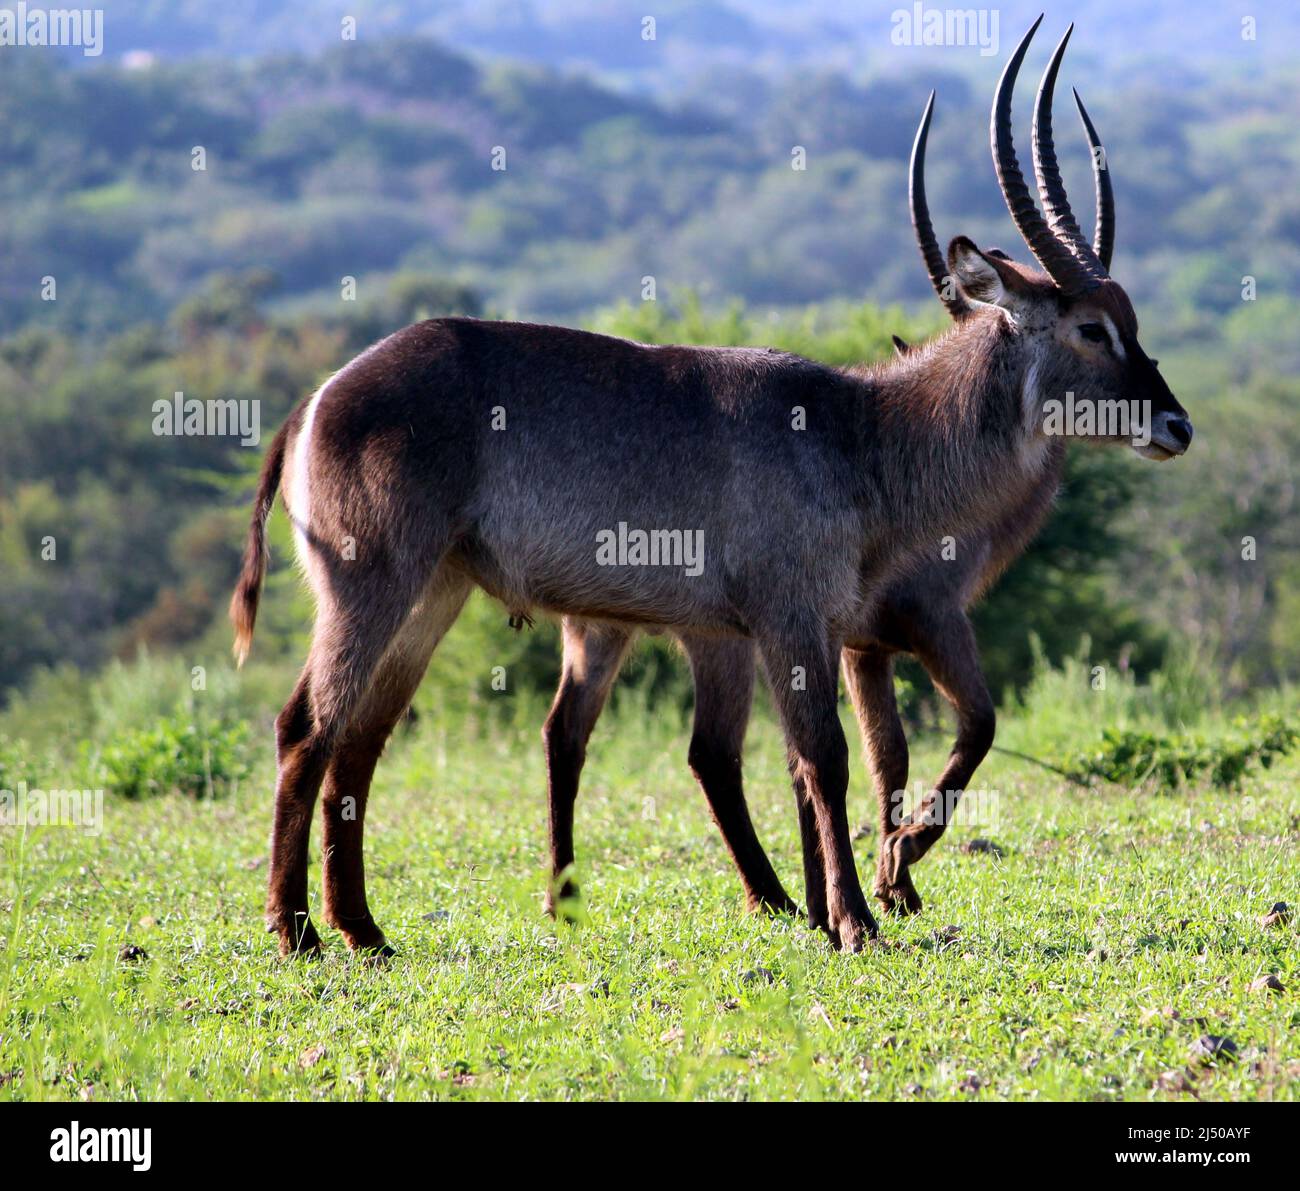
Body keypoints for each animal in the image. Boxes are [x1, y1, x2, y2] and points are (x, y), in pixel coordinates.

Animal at [231, 20, 1190, 956]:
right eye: (1092, 327)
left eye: (1132, 320)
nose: (1177, 425)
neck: (863, 432)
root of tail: (318, 398)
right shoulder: (800, 617)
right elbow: (829, 758)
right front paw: (856, 919)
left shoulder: (789, 630)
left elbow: (809, 764)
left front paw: (828, 910)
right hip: (374, 583)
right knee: (304, 726)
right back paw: (297, 930)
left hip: (438, 591)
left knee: (360, 740)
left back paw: (365, 930)